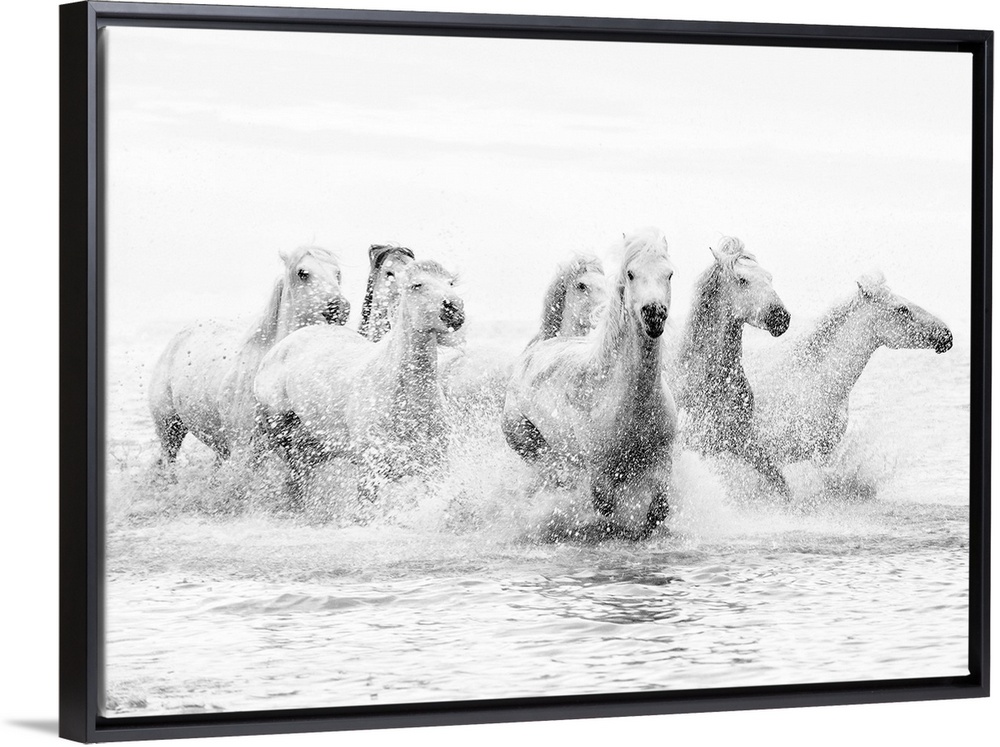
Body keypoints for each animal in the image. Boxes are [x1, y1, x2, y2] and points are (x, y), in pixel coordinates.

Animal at [252, 260, 464, 502]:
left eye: (450, 283)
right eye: (416, 285)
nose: (454, 309)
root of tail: (279, 347)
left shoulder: (436, 467)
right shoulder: (371, 473)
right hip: (276, 433)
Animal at [502, 228, 677, 540]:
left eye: (669, 273)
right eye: (631, 273)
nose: (654, 313)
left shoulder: (663, 457)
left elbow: (659, 509)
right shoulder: (599, 469)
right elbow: (604, 505)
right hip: (527, 441)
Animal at [672, 237, 790, 489]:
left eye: (769, 278)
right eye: (742, 280)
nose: (781, 317)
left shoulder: (742, 441)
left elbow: (779, 481)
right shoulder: (702, 446)